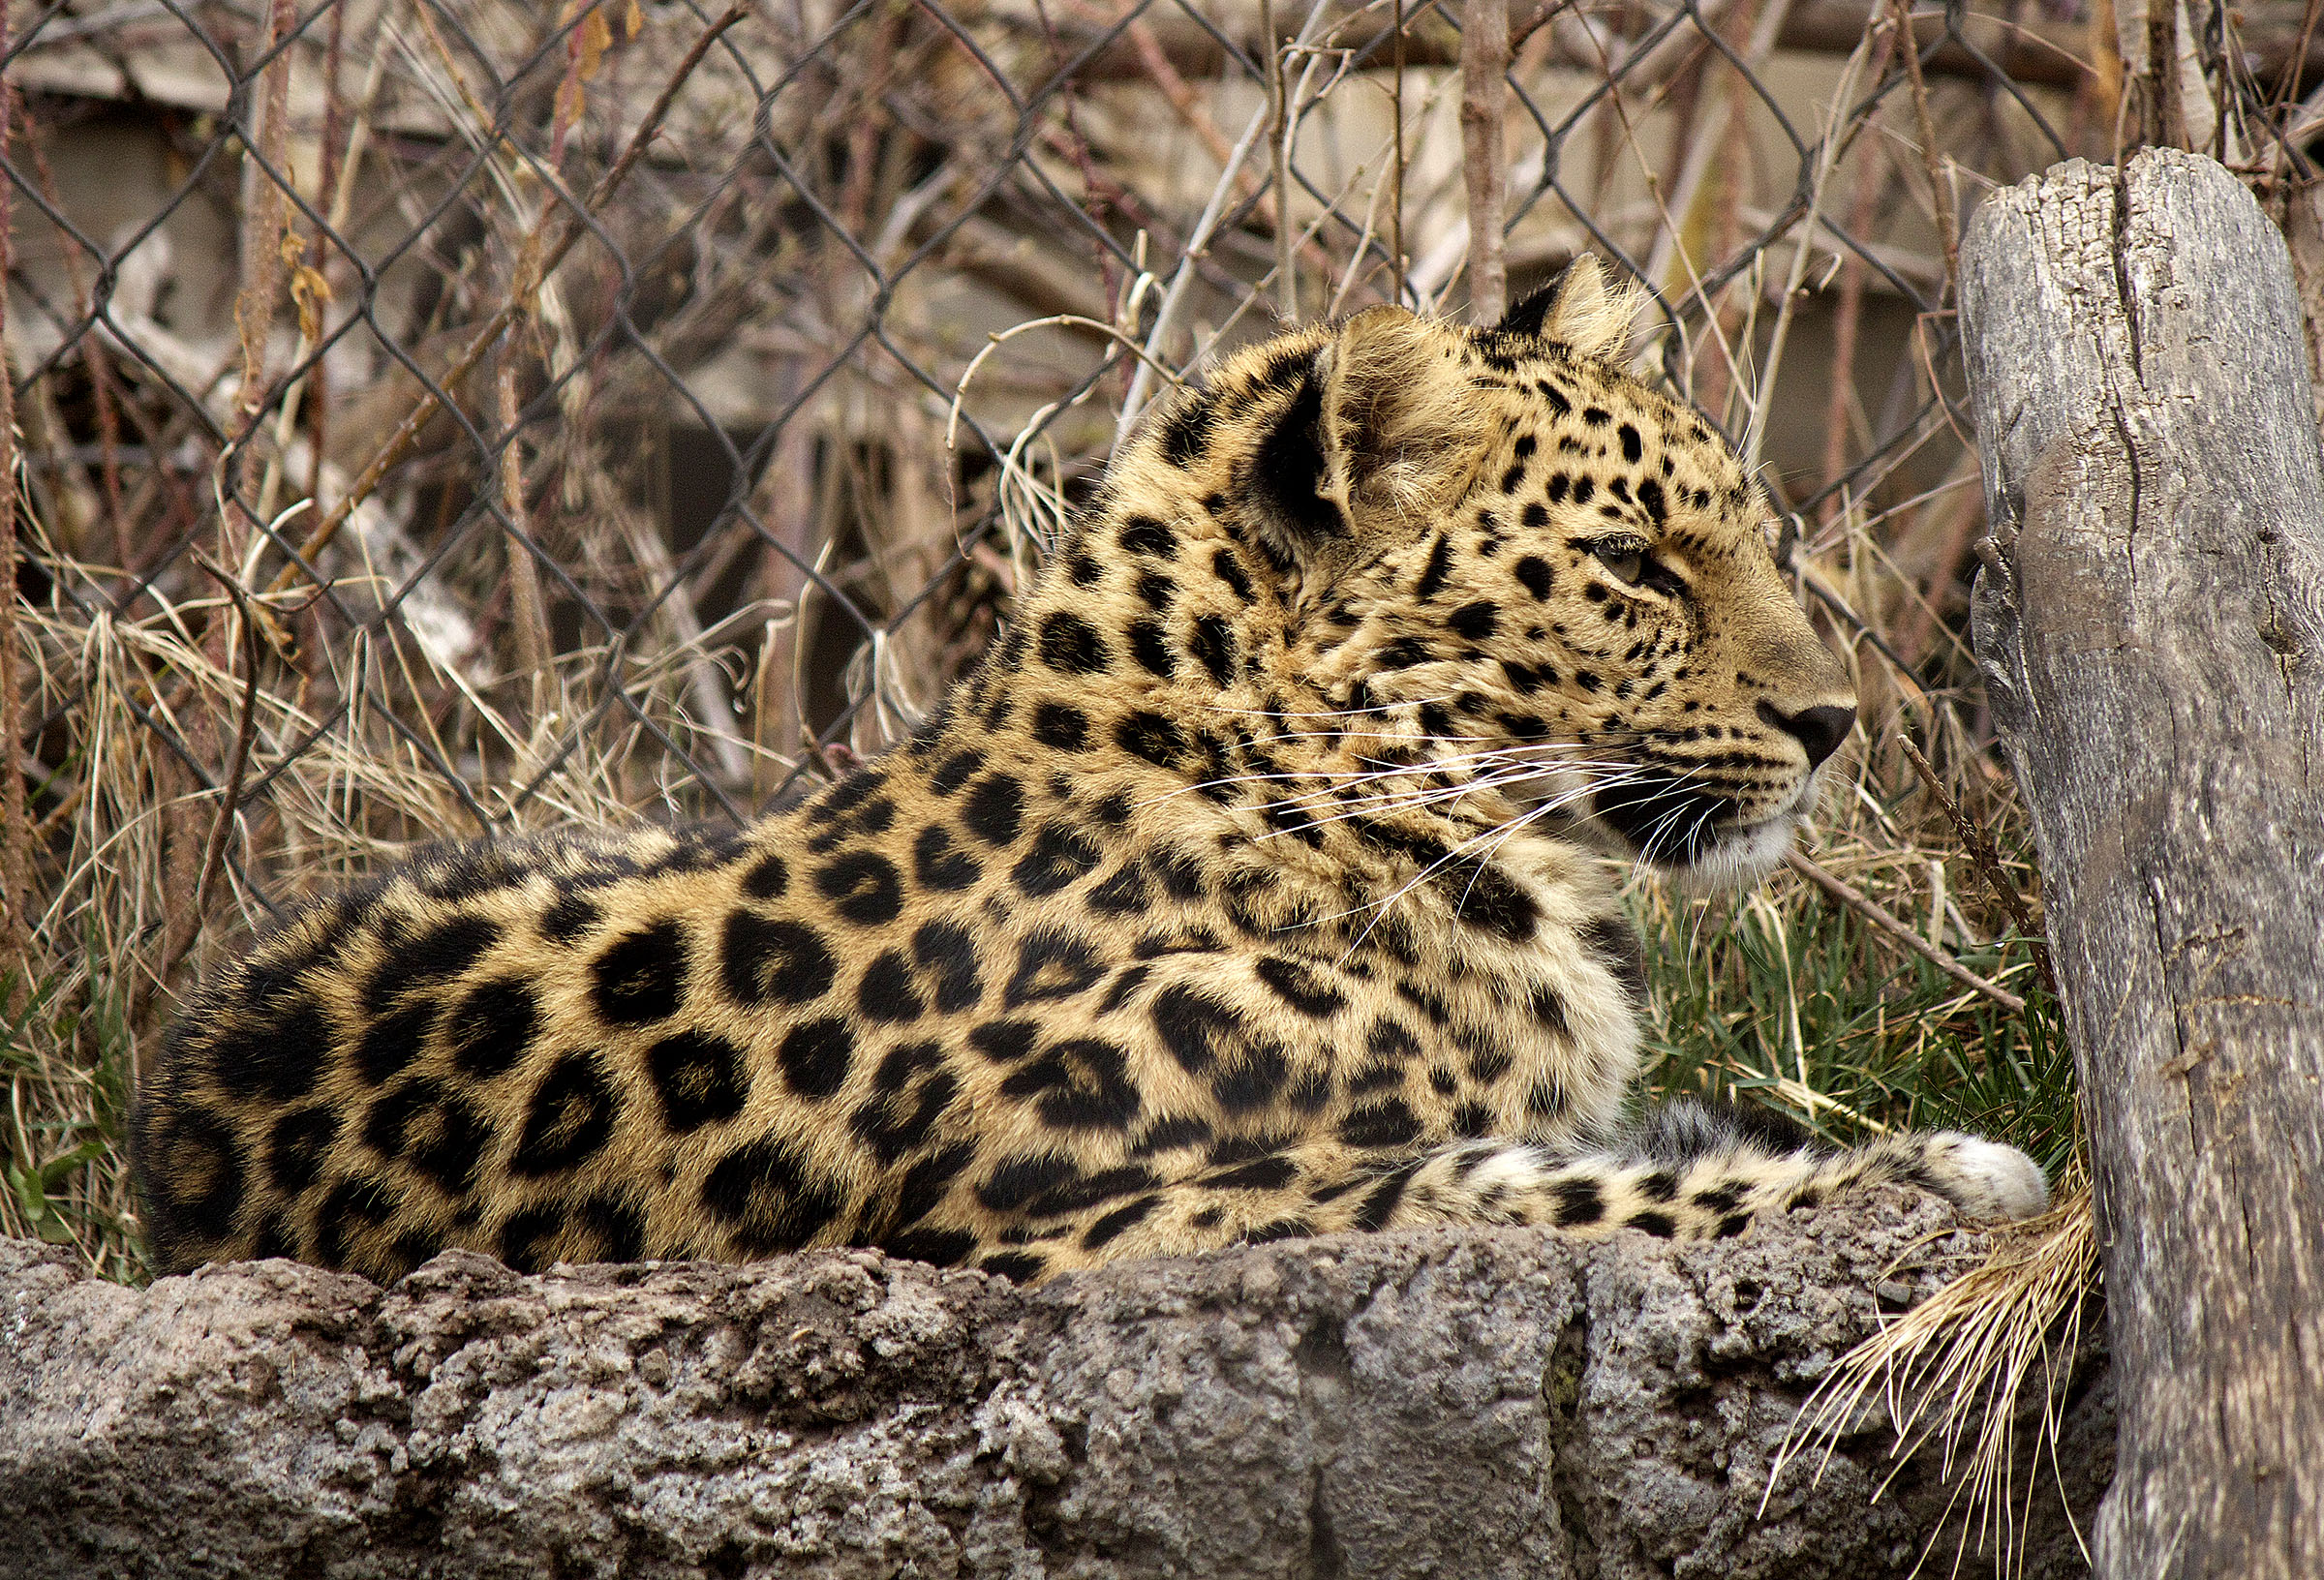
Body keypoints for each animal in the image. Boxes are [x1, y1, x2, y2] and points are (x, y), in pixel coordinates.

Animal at [132, 258, 2049, 1287]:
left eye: (1750, 535)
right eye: (1640, 563)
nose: (1837, 720)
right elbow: (1526, 1184)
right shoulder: (1067, 1213)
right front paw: (1942, 1171)